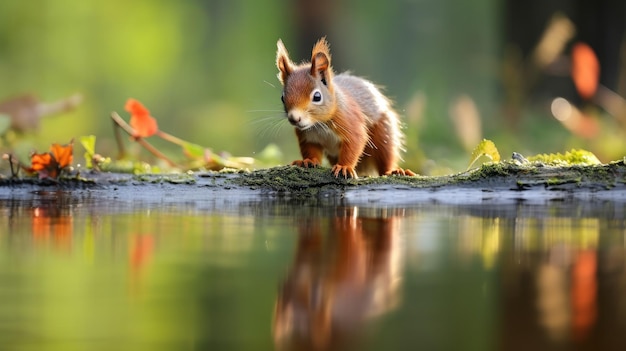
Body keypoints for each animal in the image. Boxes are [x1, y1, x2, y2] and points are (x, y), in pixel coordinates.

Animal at [274, 37, 412, 179]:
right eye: (282, 97)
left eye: (317, 97)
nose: (294, 118)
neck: (320, 124)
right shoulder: (308, 137)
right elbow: (310, 150)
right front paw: (308, 161)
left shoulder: (350, 122)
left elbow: (353, 144)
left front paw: (344, 167)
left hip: (384, 133)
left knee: (386, 158)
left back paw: (394, 171)